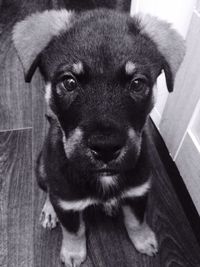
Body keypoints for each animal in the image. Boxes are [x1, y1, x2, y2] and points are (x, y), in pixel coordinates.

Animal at [12, 8, 184, 267]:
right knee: (49, 192)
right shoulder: (67, 201)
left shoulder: (138, 190)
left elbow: (136, 220)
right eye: (69, 82)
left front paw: (144, 240)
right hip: (41, 168)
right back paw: (50, 211)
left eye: (137, 83)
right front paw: (73, 252)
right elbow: (73, 229)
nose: (105, 148)